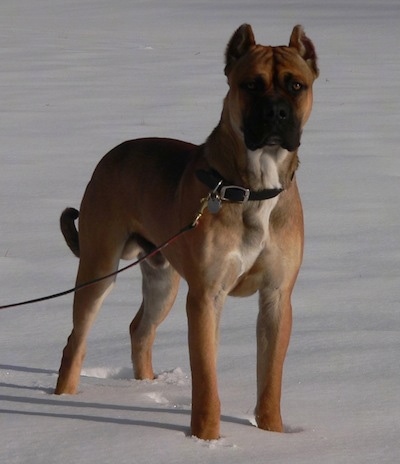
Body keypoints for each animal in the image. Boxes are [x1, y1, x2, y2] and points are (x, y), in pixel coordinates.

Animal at [55, 24, 318, 438]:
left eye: (296, 86)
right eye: (251, 85)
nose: (276, 112)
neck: (252, 186)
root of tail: (112, 154)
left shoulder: (277, 297)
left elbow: (270, 378)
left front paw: (272, 434)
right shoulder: (206, 297)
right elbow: (206, 379)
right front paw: (206, 439)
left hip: (163, 280)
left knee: (140, 330)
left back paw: (144, 387)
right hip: (98, 269)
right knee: (75, 342)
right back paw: (63, 398)